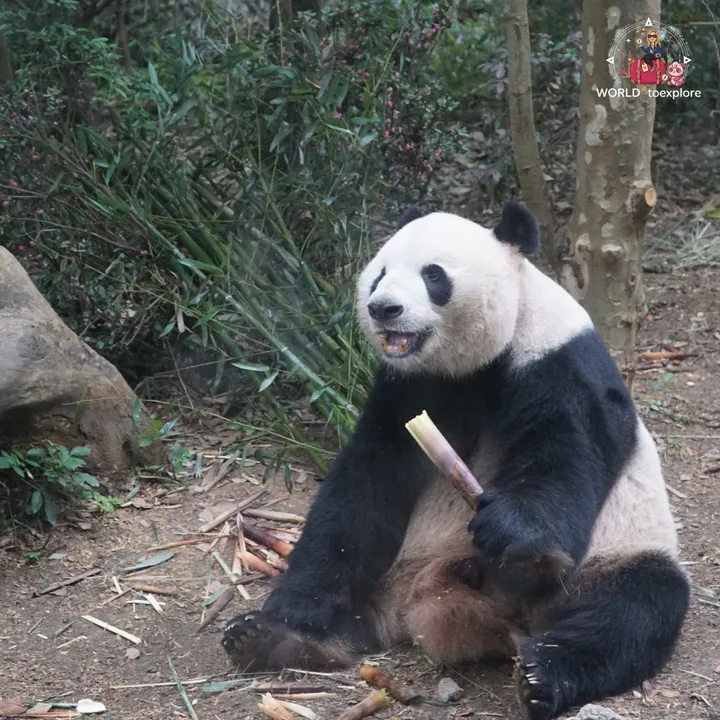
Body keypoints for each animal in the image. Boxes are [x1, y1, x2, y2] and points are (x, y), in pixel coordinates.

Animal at [222, 201, 690, 720]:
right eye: (380, 274)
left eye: (433, 275)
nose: (383, 308)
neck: (477, 362)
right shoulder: (409, 388)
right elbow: (363, 487)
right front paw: (292, 608)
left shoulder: (560, 361)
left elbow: (564, 460)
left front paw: (511, 534)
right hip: (397, 562)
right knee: (357, 600)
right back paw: (272, 638)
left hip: (616, 554)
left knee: (632, 609)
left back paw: (543, 676)